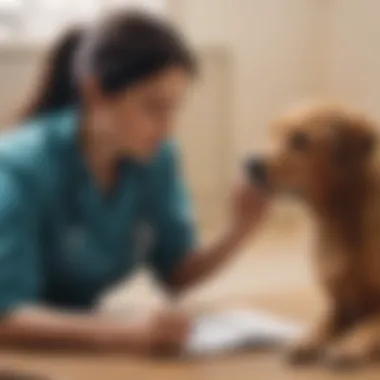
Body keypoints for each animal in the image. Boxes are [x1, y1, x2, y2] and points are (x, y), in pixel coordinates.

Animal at [245, 102, 380, 366]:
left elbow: (371, 327)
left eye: (300, 139)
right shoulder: (339, 305)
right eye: (273, 132)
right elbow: (321, 324)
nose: (252, 165)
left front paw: (350, 347)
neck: (340, 222)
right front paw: (306, 341)